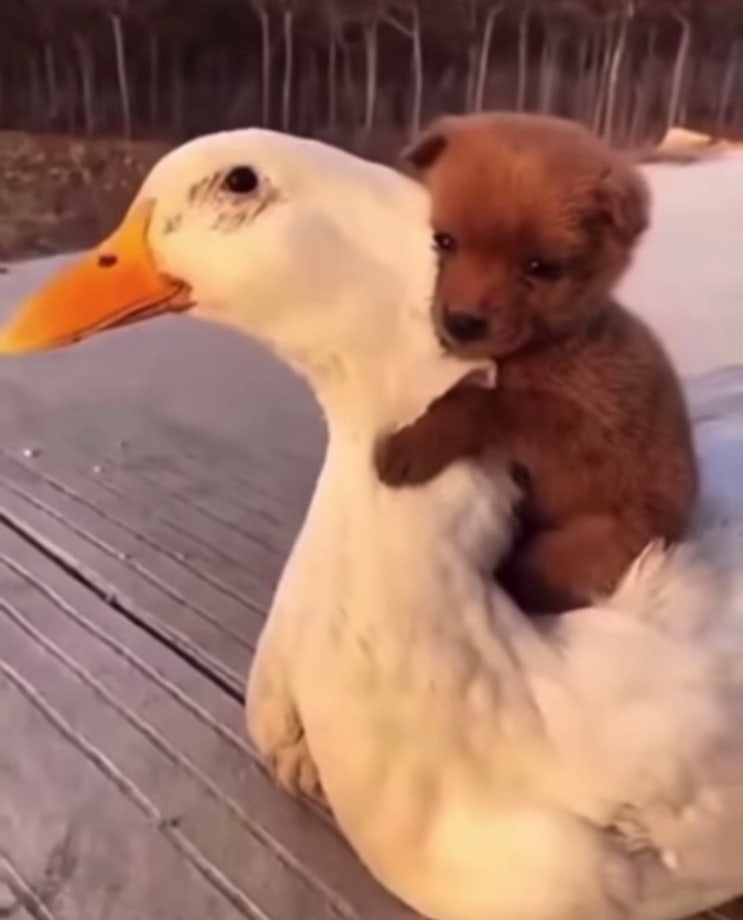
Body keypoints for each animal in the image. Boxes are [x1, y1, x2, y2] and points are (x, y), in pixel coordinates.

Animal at [376, 113, 699, 614]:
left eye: (540, 267)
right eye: (444, 241)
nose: (462, 323)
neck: (553, 345)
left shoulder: (588, 428)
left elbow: (485, 403)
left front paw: (413, 445)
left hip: (596, 540)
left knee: (539, 578)